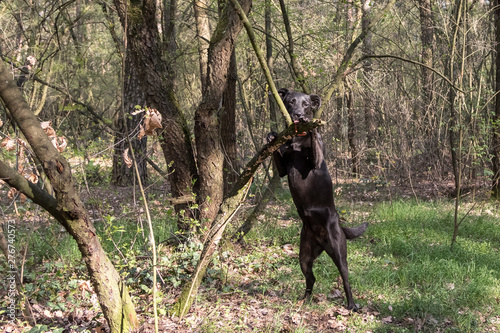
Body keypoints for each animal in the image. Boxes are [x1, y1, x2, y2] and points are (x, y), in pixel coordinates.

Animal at [270, 87, 368, 308]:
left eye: (306, 104)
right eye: (290, 102)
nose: (299, 115)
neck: (297, 139)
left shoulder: (316, 161)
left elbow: (314, 140)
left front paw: (313, 127)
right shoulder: (282, 170)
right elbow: (276, 151)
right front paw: (270, 135)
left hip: (339, 252)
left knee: (346, 279)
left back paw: (351, 305)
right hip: (304, 256)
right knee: (311, 278)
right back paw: (304, 300)